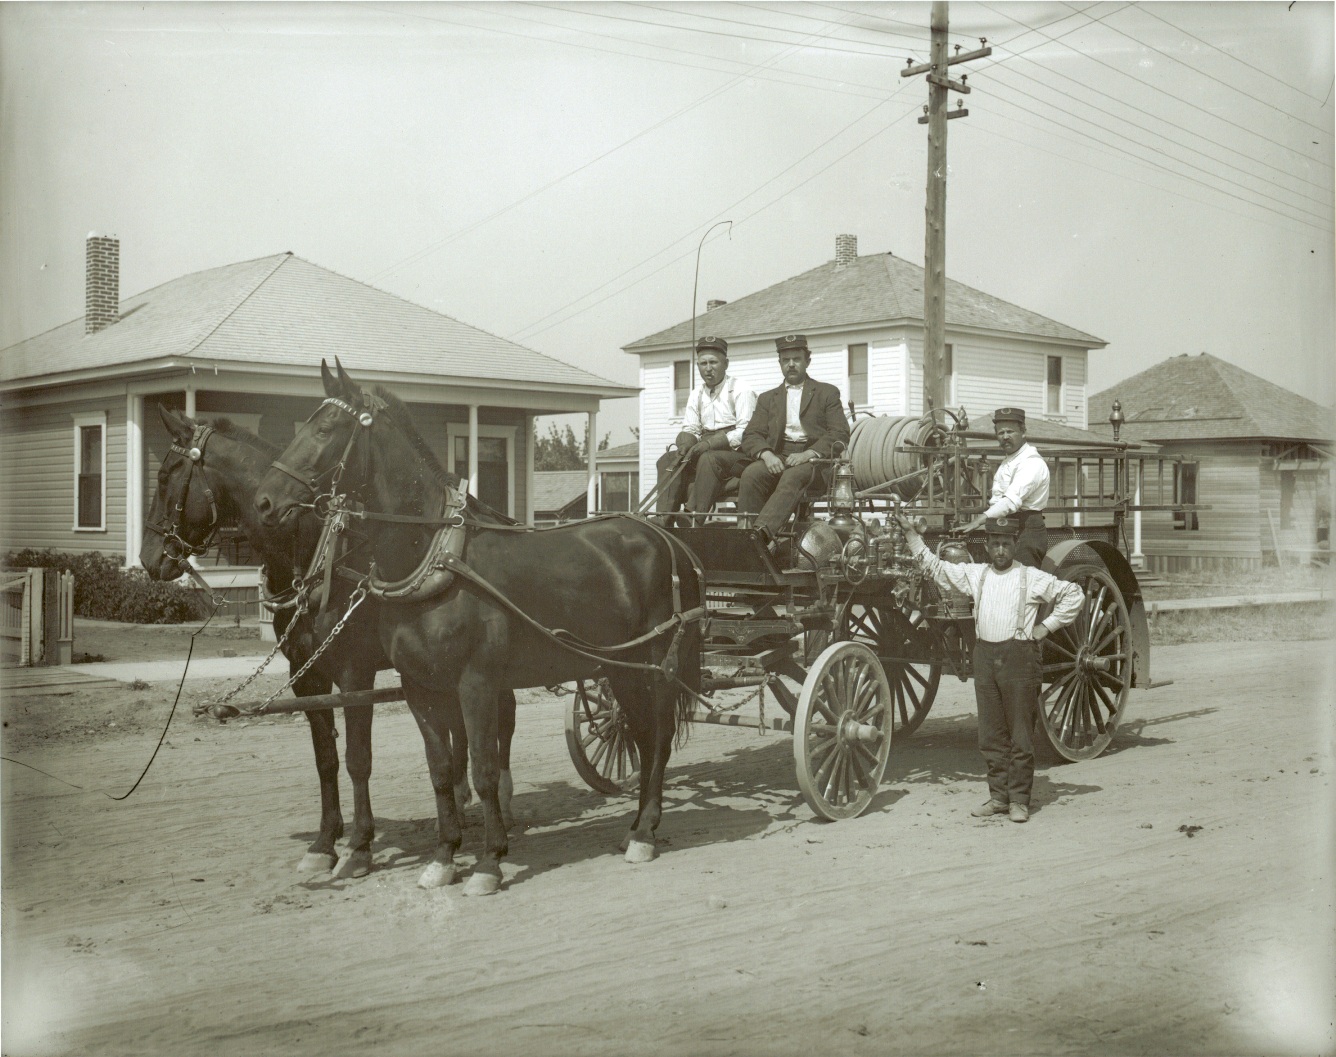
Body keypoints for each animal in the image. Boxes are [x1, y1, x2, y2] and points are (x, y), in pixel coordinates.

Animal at [140, 403, 515, 876]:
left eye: (164, 476)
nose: (148, 559)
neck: (313, 557)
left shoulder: (354, 673)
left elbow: (358, 759)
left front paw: (360, 844)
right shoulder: (306, 675)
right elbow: (326, 760)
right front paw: (324, 842)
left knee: (503, 718)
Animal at [253, 363, 705, 892]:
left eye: (326, 430)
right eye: (302, 425)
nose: (265, 501)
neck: (433, 559)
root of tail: (667, 537)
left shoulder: (474, 684)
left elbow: (484, 769)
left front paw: (489, 860)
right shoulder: (420, 688)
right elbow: (441, 769)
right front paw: (445, 855)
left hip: (653, 668)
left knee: (658, 739)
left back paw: (645, 833)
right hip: (619, 669)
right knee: (641, 737)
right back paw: (634, 826)